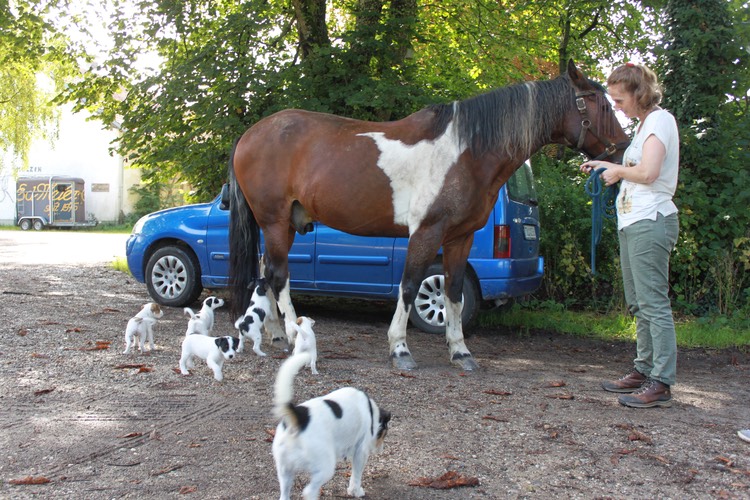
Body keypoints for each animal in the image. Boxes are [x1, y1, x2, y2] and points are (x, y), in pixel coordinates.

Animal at [228, 59, 628, 372]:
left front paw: (460, 351)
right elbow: (408, 286)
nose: (622, 150)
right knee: (280, 276)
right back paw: (292, 334)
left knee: (268, 274)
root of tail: (250, 134)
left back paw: (276, 334)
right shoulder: (426, 232)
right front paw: (400, 349)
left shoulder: (460, 237)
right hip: (274, 221)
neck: (466, 152)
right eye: (597, 103)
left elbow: (452, 293)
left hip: (284, 224)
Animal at [276, 352, 394, 500]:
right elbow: (356, 476)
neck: (371, 412)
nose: (381, 449)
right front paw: (356, 491)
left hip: (285, 472)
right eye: (385, 432)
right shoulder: (360, 452)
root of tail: (298, 418)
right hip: (325, 467)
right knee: (309, 491)